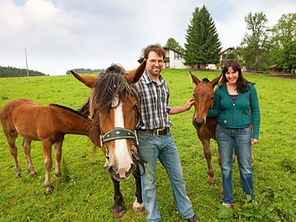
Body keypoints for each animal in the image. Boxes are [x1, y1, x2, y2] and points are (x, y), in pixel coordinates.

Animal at [71, 59, 147, 216]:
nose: (122, 167)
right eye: (98, 109)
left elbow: (137, 169)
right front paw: (118, 204)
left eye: (134, 106)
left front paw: (139, 201)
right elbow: (113, 176)